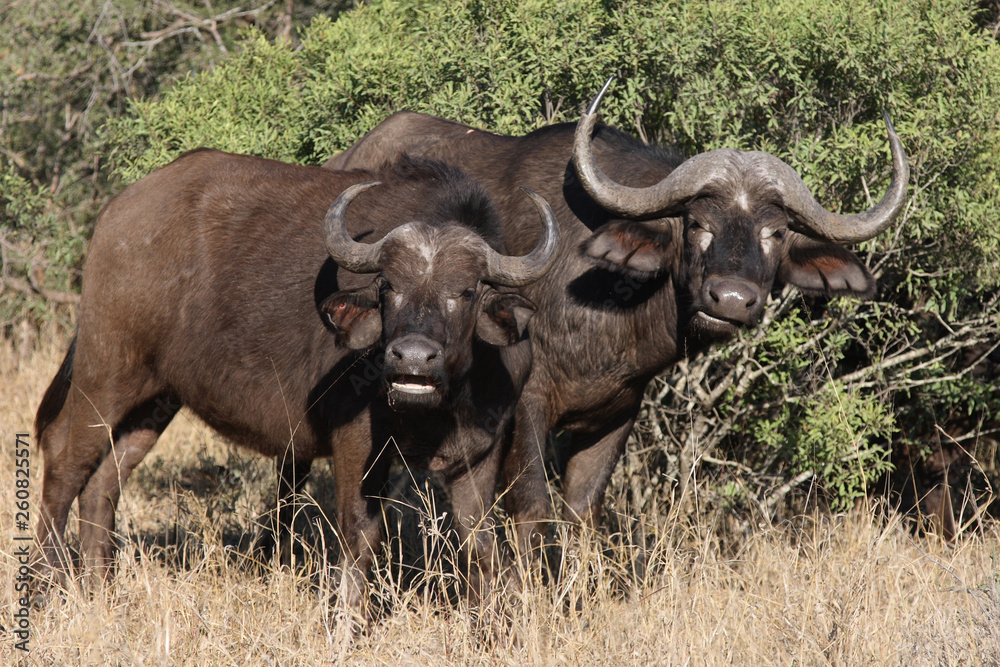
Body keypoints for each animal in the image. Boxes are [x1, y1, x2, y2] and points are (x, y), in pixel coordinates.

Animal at [31, 151, 560, 612]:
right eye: (389, 286)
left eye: (466, 291)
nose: (411, 356)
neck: (439, 409)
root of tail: (116, 213)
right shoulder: (355, 443)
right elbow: (361, 534)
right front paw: (348, 623)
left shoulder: (480, 452)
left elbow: (481, 543)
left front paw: (492, 626)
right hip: (106, 372)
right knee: (63, 463)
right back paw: (44, 587)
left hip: (155, 399)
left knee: (104, 481)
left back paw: (99, 591)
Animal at [324, 78, 912, 552]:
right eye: (696, 223)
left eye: (776, 232)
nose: (730, 299)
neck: (605, 312)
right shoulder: (525, 411)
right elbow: (533, 513)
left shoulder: (615, 417)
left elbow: (583, 514)